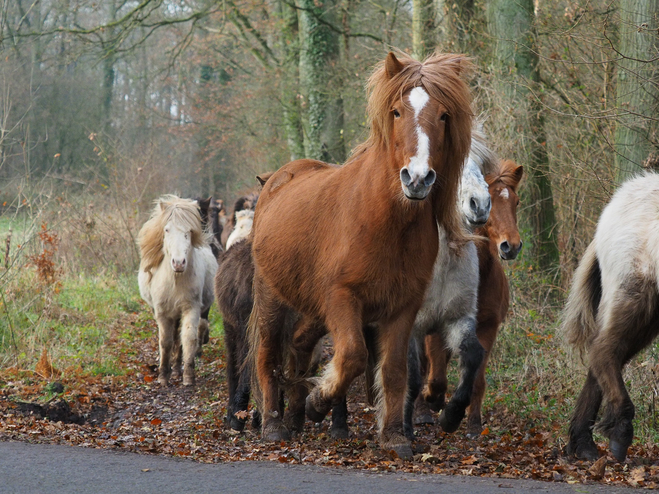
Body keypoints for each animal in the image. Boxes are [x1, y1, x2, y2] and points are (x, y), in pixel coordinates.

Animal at [137, 196, 218, 386]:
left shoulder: (191, 308)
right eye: (167, 230)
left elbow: (187, 338)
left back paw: (177, 368)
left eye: (189, 231)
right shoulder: (162, 312)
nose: (179, 263)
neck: (175, 279)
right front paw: (162, 376)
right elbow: (165, 342)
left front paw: (188, 376)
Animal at [402, 121, 500, 438]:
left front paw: (450, 416)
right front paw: (404, 429)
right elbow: (411, 375)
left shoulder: (459, 319)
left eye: (481, 167)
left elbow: (472, 356)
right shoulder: (410, 325)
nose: (479, 205)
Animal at [420, 160, 524, 434]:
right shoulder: (436, 326)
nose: (511, 246)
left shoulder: (487, 327)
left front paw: (473, 423)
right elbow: (436, 375)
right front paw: (433, 402)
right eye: (490, 201)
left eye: (516, 201)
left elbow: (477, 378)